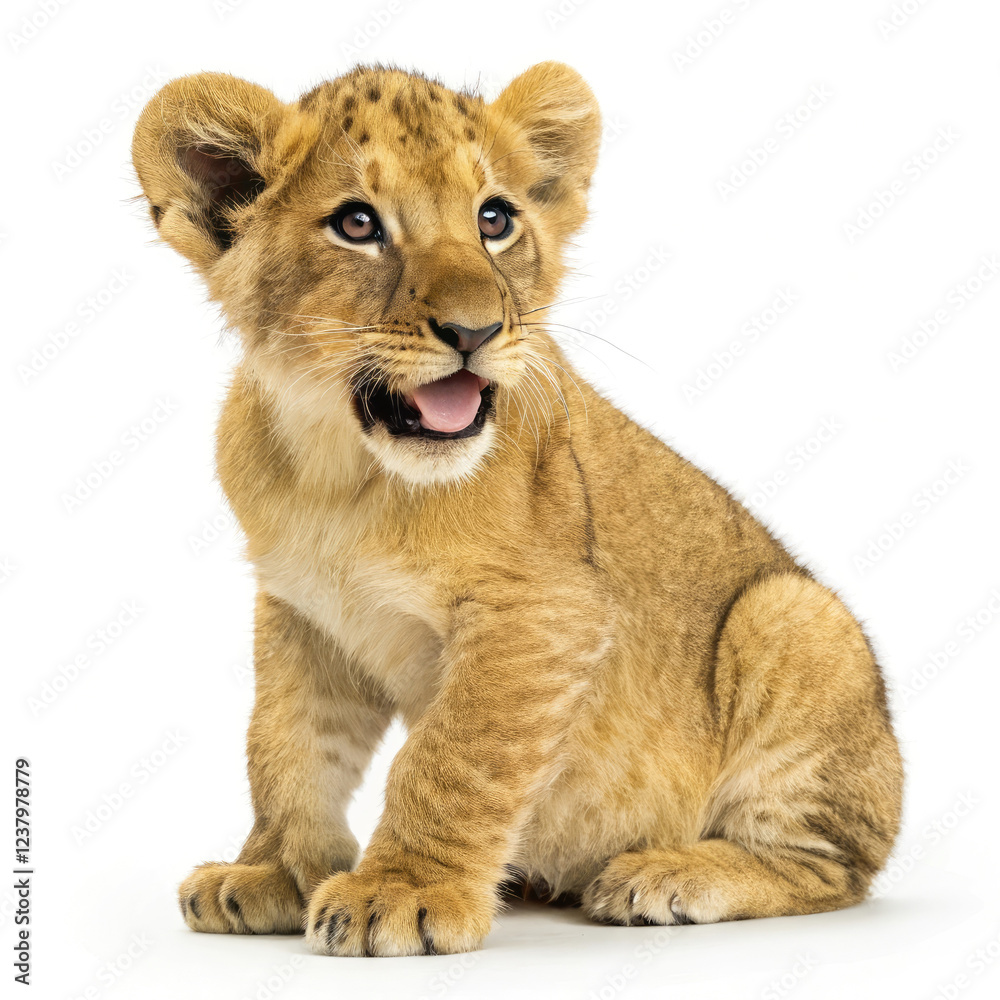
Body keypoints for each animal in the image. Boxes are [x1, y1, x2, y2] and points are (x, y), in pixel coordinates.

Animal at [131, 61, 903, 957]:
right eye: (357, 224)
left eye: (494, 219)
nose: (474, 331)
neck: (340, 473)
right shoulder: (302, 610)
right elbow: (286, 746)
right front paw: (275, 873)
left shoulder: (541, 609)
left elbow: (452, 755)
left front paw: (402, 893)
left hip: (796, 617)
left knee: (833, 866)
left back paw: (665, 875)